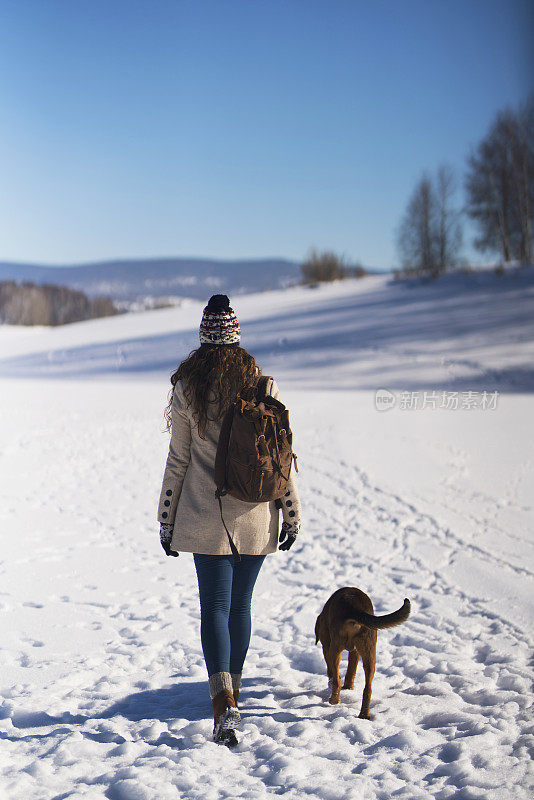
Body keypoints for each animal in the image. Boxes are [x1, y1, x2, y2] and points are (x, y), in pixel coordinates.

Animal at [316, 588, 412, 720]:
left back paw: (334, 700)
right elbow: (351, 671)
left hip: (336, 648)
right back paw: (364, 715)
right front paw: (348, 687)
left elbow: (331, 671)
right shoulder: (355, 651)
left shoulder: (327, 646)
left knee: (336, 679)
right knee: (368, 689)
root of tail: (355, 609)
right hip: (369, 652)